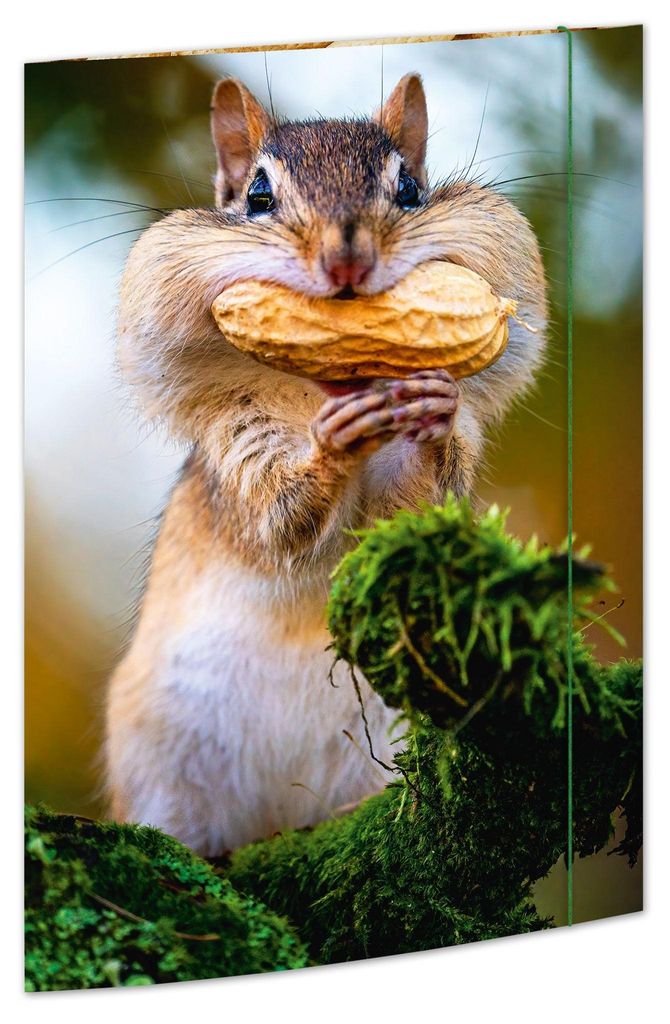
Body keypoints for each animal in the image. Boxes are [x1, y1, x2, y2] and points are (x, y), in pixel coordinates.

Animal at [106, 73, 547, 856]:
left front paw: (432, 410)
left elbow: (418, 507)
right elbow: (278, 521)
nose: (347, 262)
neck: (321, 388)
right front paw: (332, 446)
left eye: (409, 188)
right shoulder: (236, 442)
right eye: (257, 194)